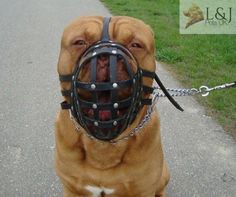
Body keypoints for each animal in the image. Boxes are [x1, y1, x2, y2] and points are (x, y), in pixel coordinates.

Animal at [55, 16, 170, 196]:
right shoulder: (72, 189)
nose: (105, 57)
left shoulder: (144, 189)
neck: (103, 147)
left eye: (136, 44)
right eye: (80, 42)